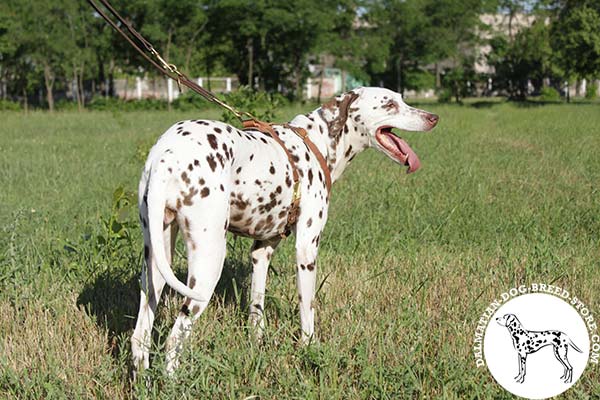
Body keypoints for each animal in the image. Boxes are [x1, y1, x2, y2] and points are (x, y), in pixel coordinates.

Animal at [131, 86, 438, 374]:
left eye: (401, 98)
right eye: (389, 104)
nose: (433, 118)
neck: (318, 141)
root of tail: (166, 156)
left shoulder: (262, 250)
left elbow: (257, 308)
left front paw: (257, 345)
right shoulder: (306, 249)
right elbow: (307, 308)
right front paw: (309, 349)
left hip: (156, 267)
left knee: (140, 338)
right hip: (208, 265)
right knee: (174, 338)